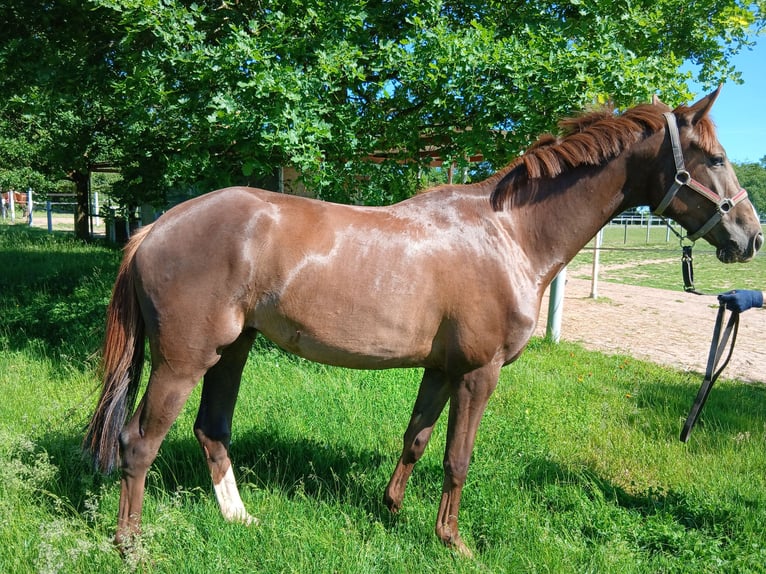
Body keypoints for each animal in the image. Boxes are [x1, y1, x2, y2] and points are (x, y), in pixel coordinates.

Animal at [84, 87, 763, 557]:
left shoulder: (441, 368)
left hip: (234, 350)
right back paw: (131, 543)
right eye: (717, 158)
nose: (750, 236)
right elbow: (457, 457)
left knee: (212, 429)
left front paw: (390, 511)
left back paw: (239, 518)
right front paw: (453, 541)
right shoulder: (480, 372)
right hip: (184, 360)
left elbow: (415, 438)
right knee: (138, 442)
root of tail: (155, 227)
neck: (509, 233)